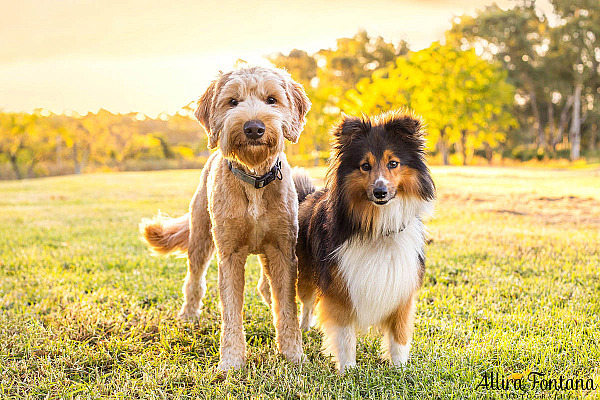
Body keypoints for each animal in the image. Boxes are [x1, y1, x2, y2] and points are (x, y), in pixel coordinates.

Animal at [140, 66, 310, 372]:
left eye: (271, 100)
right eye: (233, 102)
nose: (253, 128)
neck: (254, 179)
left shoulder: (283, 251)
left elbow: (287, 307)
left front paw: (292, 354)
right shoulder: (229, 254)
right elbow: (231, 310)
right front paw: (231, 360)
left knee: (266, 287)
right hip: (200, 237)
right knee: (194, 280)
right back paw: (188, 315)